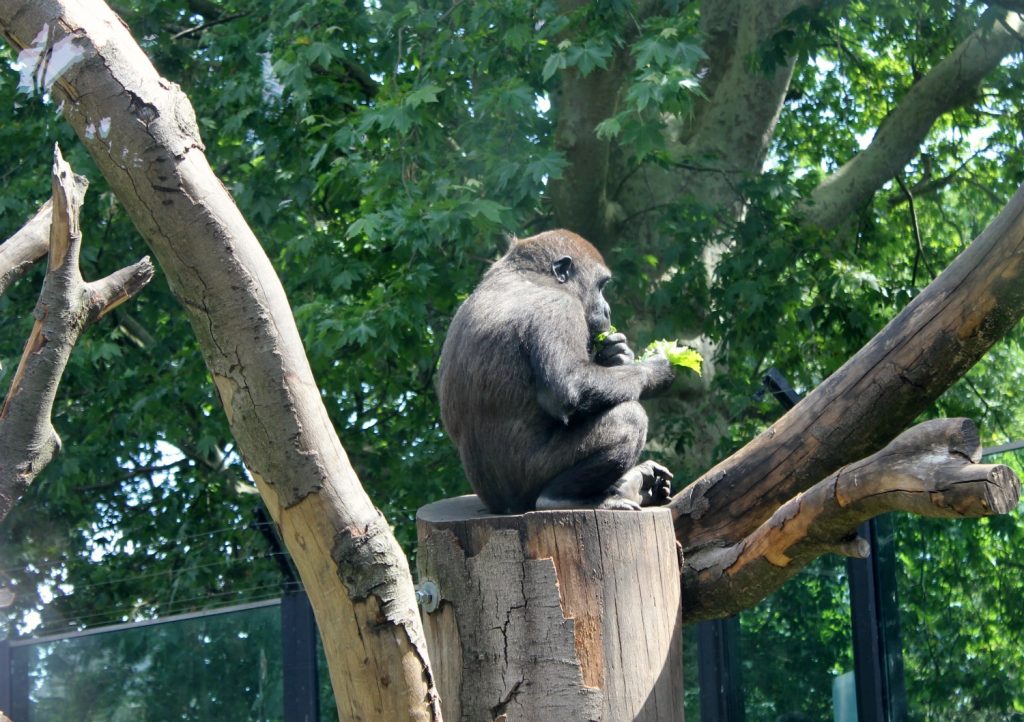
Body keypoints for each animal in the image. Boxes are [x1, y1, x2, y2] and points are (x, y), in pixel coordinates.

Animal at [437, 229, 676, 514]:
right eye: (600, 286)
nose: (607, 310)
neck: (528, 274)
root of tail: (499, 508)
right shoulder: (559, 305)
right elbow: (570, 387)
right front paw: (657, 371)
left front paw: (618, 354)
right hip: (526, 486)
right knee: (628, 418)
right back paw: (562, 497)